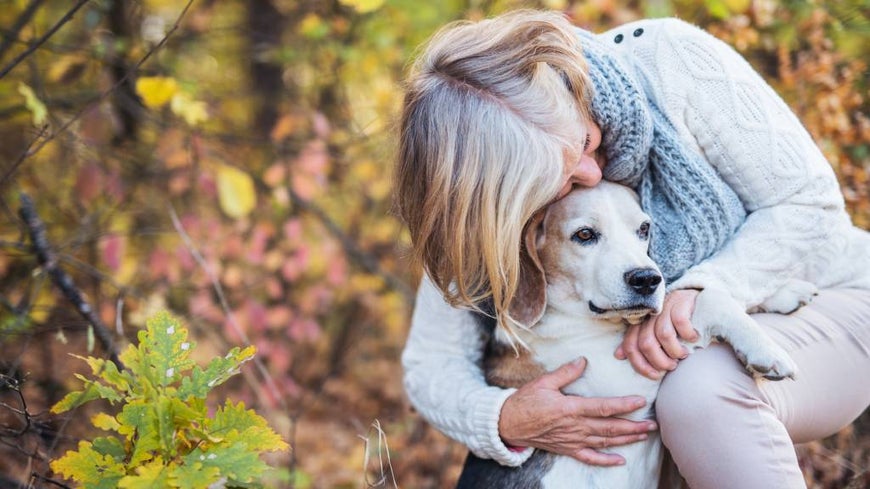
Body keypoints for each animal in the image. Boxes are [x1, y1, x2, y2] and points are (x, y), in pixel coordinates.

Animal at [456, 181, 804, 488]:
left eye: (644, 229)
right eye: (584, 235)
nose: (647, 279)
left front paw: (786, 293)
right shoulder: (623, 386)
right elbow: (710, 301)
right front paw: (765, 350)